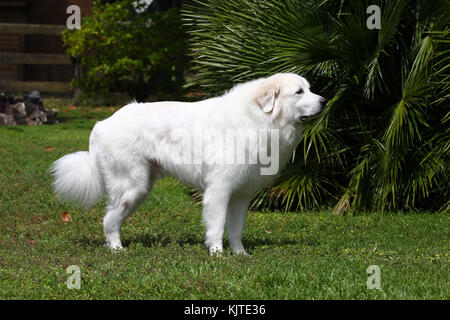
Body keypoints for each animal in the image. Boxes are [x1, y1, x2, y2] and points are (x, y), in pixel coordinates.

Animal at [51, 73, 326, 255]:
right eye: (299, 92)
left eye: (309, 89)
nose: (324, 101)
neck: (257, 118)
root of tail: (101, 124)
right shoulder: (219, 189)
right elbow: (216, 225)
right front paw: (217, 254)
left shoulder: (241, 194)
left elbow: (236, 229)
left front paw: (240, 254)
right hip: (132, 186)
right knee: (108, 220)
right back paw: (117, 250)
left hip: (139, 189)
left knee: (112, 218)